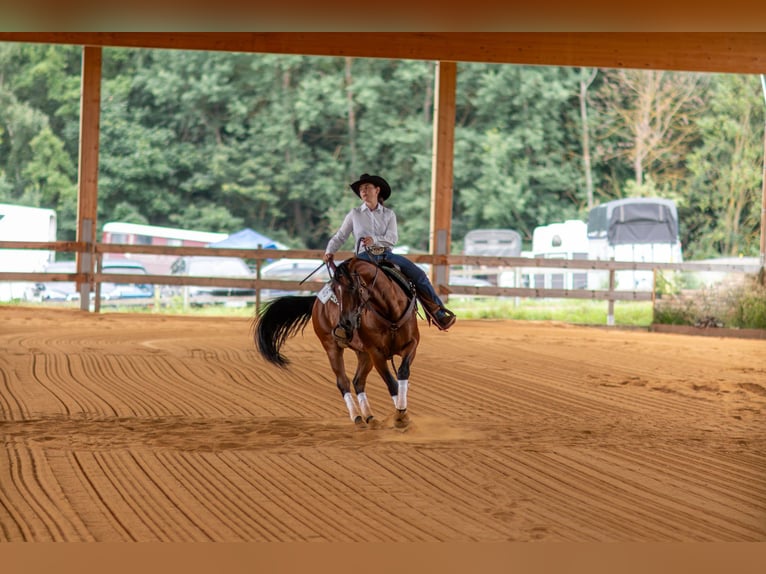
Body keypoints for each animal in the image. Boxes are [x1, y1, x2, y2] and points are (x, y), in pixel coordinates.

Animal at [254, 256, 420, 428]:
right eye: (335, 290)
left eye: (353, 287)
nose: (345, 323)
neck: (389, 313)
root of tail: (316, 302)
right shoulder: (376, 353)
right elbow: (391, 382)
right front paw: (401, 417)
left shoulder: (412, 344)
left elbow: (402, 372)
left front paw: (401, 412)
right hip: (332, 347)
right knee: (343, 382)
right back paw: (357, 417)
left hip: (363, 354)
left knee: (358, 381)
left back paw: (370, 418)